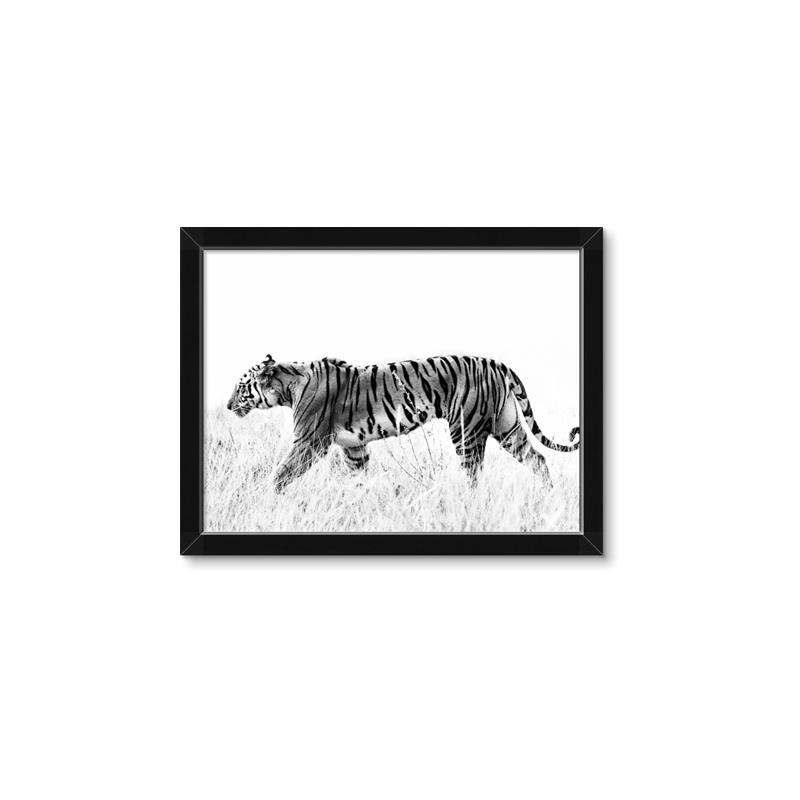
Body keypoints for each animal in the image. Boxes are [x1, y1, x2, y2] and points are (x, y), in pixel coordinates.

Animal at [226, 354, 579, 493]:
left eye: (241, 386)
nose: (228, 405)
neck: (288, 386)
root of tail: (495, 362)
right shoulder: (354, 448)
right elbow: (357, 478)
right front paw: (359, 499)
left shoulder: (308, 442)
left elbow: (282, 472)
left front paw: (265, 495)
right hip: (507, 428)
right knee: (537, 458)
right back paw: (548, 494)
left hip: (466, 431)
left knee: (474, 472)